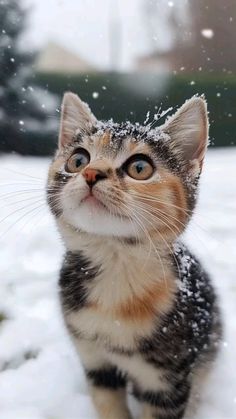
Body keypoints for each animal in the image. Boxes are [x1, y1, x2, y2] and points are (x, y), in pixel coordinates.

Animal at [47, 92, 222, 419]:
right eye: (78, 160)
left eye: (140, 168)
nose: (91, 173)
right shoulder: (94, 360)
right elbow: (108, 404)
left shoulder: (167, 380)